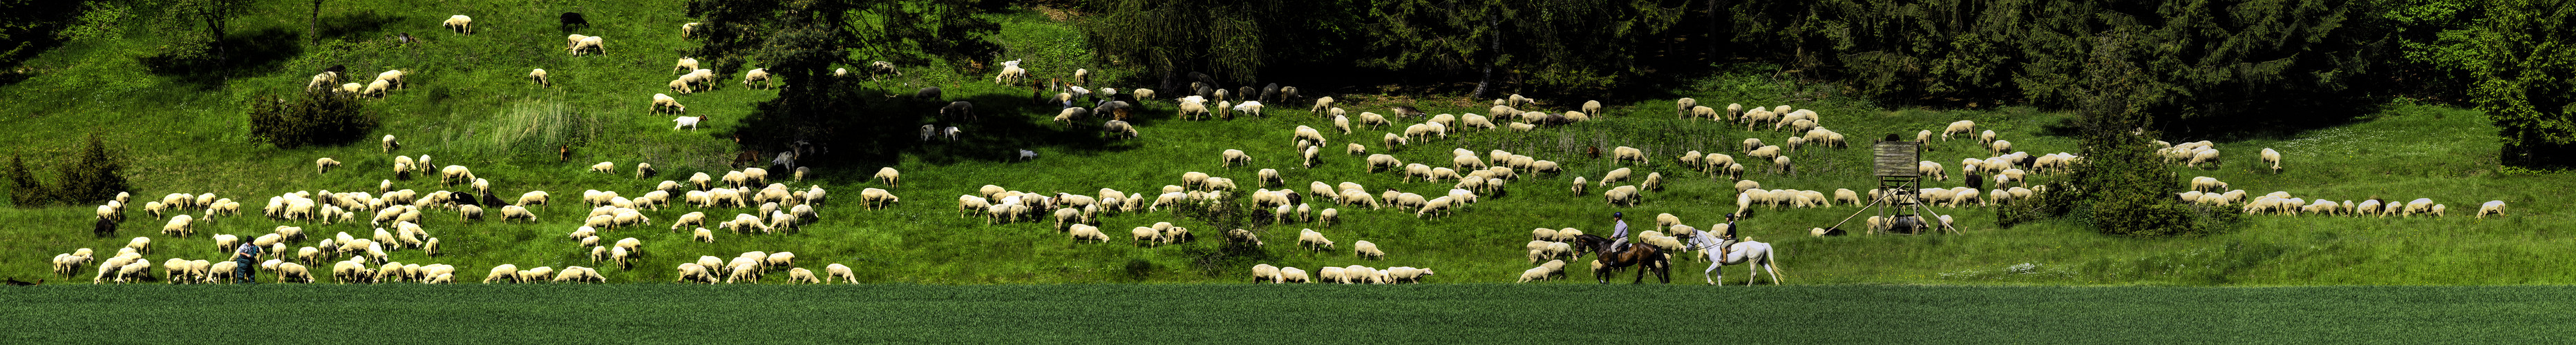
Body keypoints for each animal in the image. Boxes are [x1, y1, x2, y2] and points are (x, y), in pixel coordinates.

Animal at [1566, 234, 1669, 286]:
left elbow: (1599, 275)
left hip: (1642, 262)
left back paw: (1634, 285)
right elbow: (1607, 276)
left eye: (1577, 243)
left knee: (1640, 275)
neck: (1602, 247)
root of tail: (1652, 246)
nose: (1578, 255)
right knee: (1658, 273)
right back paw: (1663, 285)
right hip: (1650, 262)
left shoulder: (1605, 264)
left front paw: (1602, 282)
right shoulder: (1607, 265)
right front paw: (1606, 284)